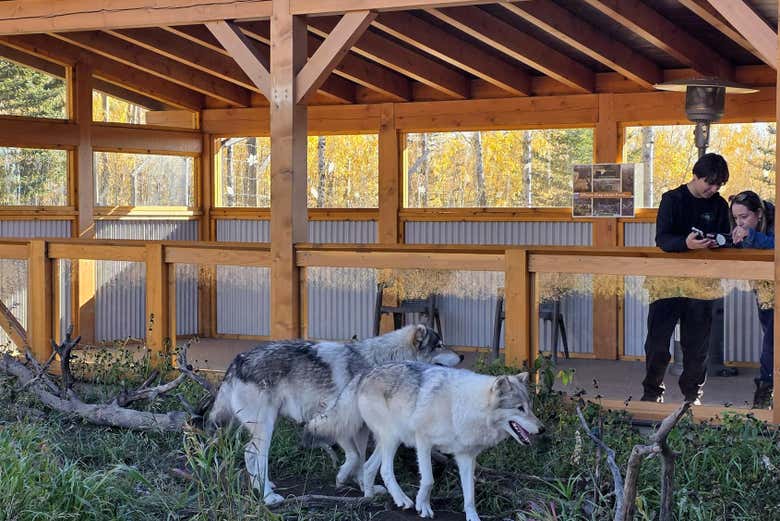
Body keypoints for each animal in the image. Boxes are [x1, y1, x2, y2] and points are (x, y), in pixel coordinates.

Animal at [207, 325, 462, 505]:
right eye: (440, 345)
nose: (461, 357)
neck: (380, 360)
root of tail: (237, 360)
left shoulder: (360, 427)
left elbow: (361, 457)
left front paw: (364, 487)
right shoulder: (338, 418)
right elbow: (355, 456)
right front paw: (343, 478)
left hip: (268, 424)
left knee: (250, 456)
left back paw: (263, 486)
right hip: (266, 426)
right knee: (253, 454)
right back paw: (268, 497)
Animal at [358, 363, 544, 521]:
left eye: (530, 407)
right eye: (520, 408)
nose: (542, 429)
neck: (464, 409)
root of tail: (367, 374)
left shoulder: (466, 457)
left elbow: (470, 494)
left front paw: (473, 517)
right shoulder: (423, 441)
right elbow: (428, 480)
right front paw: (423, 507)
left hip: (390, 441)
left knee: (368, 466)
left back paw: (369, 497)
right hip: (393, 437)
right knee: (384, 469)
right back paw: (402, 499)